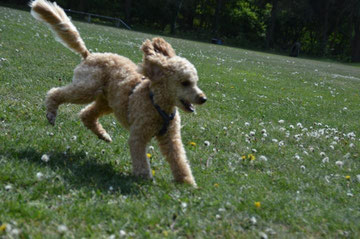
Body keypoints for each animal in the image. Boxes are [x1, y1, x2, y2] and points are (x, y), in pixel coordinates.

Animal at [29, 0, 207, 187]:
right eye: (185, 82)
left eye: (195, 82)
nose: (203, 98)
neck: (157, 103)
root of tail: (89, 55)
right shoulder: (138, 135)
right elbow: (140, 158)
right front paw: (144, 177)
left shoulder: (171, 138)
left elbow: (178, 159)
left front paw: (187, 182)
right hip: (86, 88)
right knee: (56, 93)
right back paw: (51, 113)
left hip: (107, 102)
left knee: (86, 114)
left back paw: (103, 135)